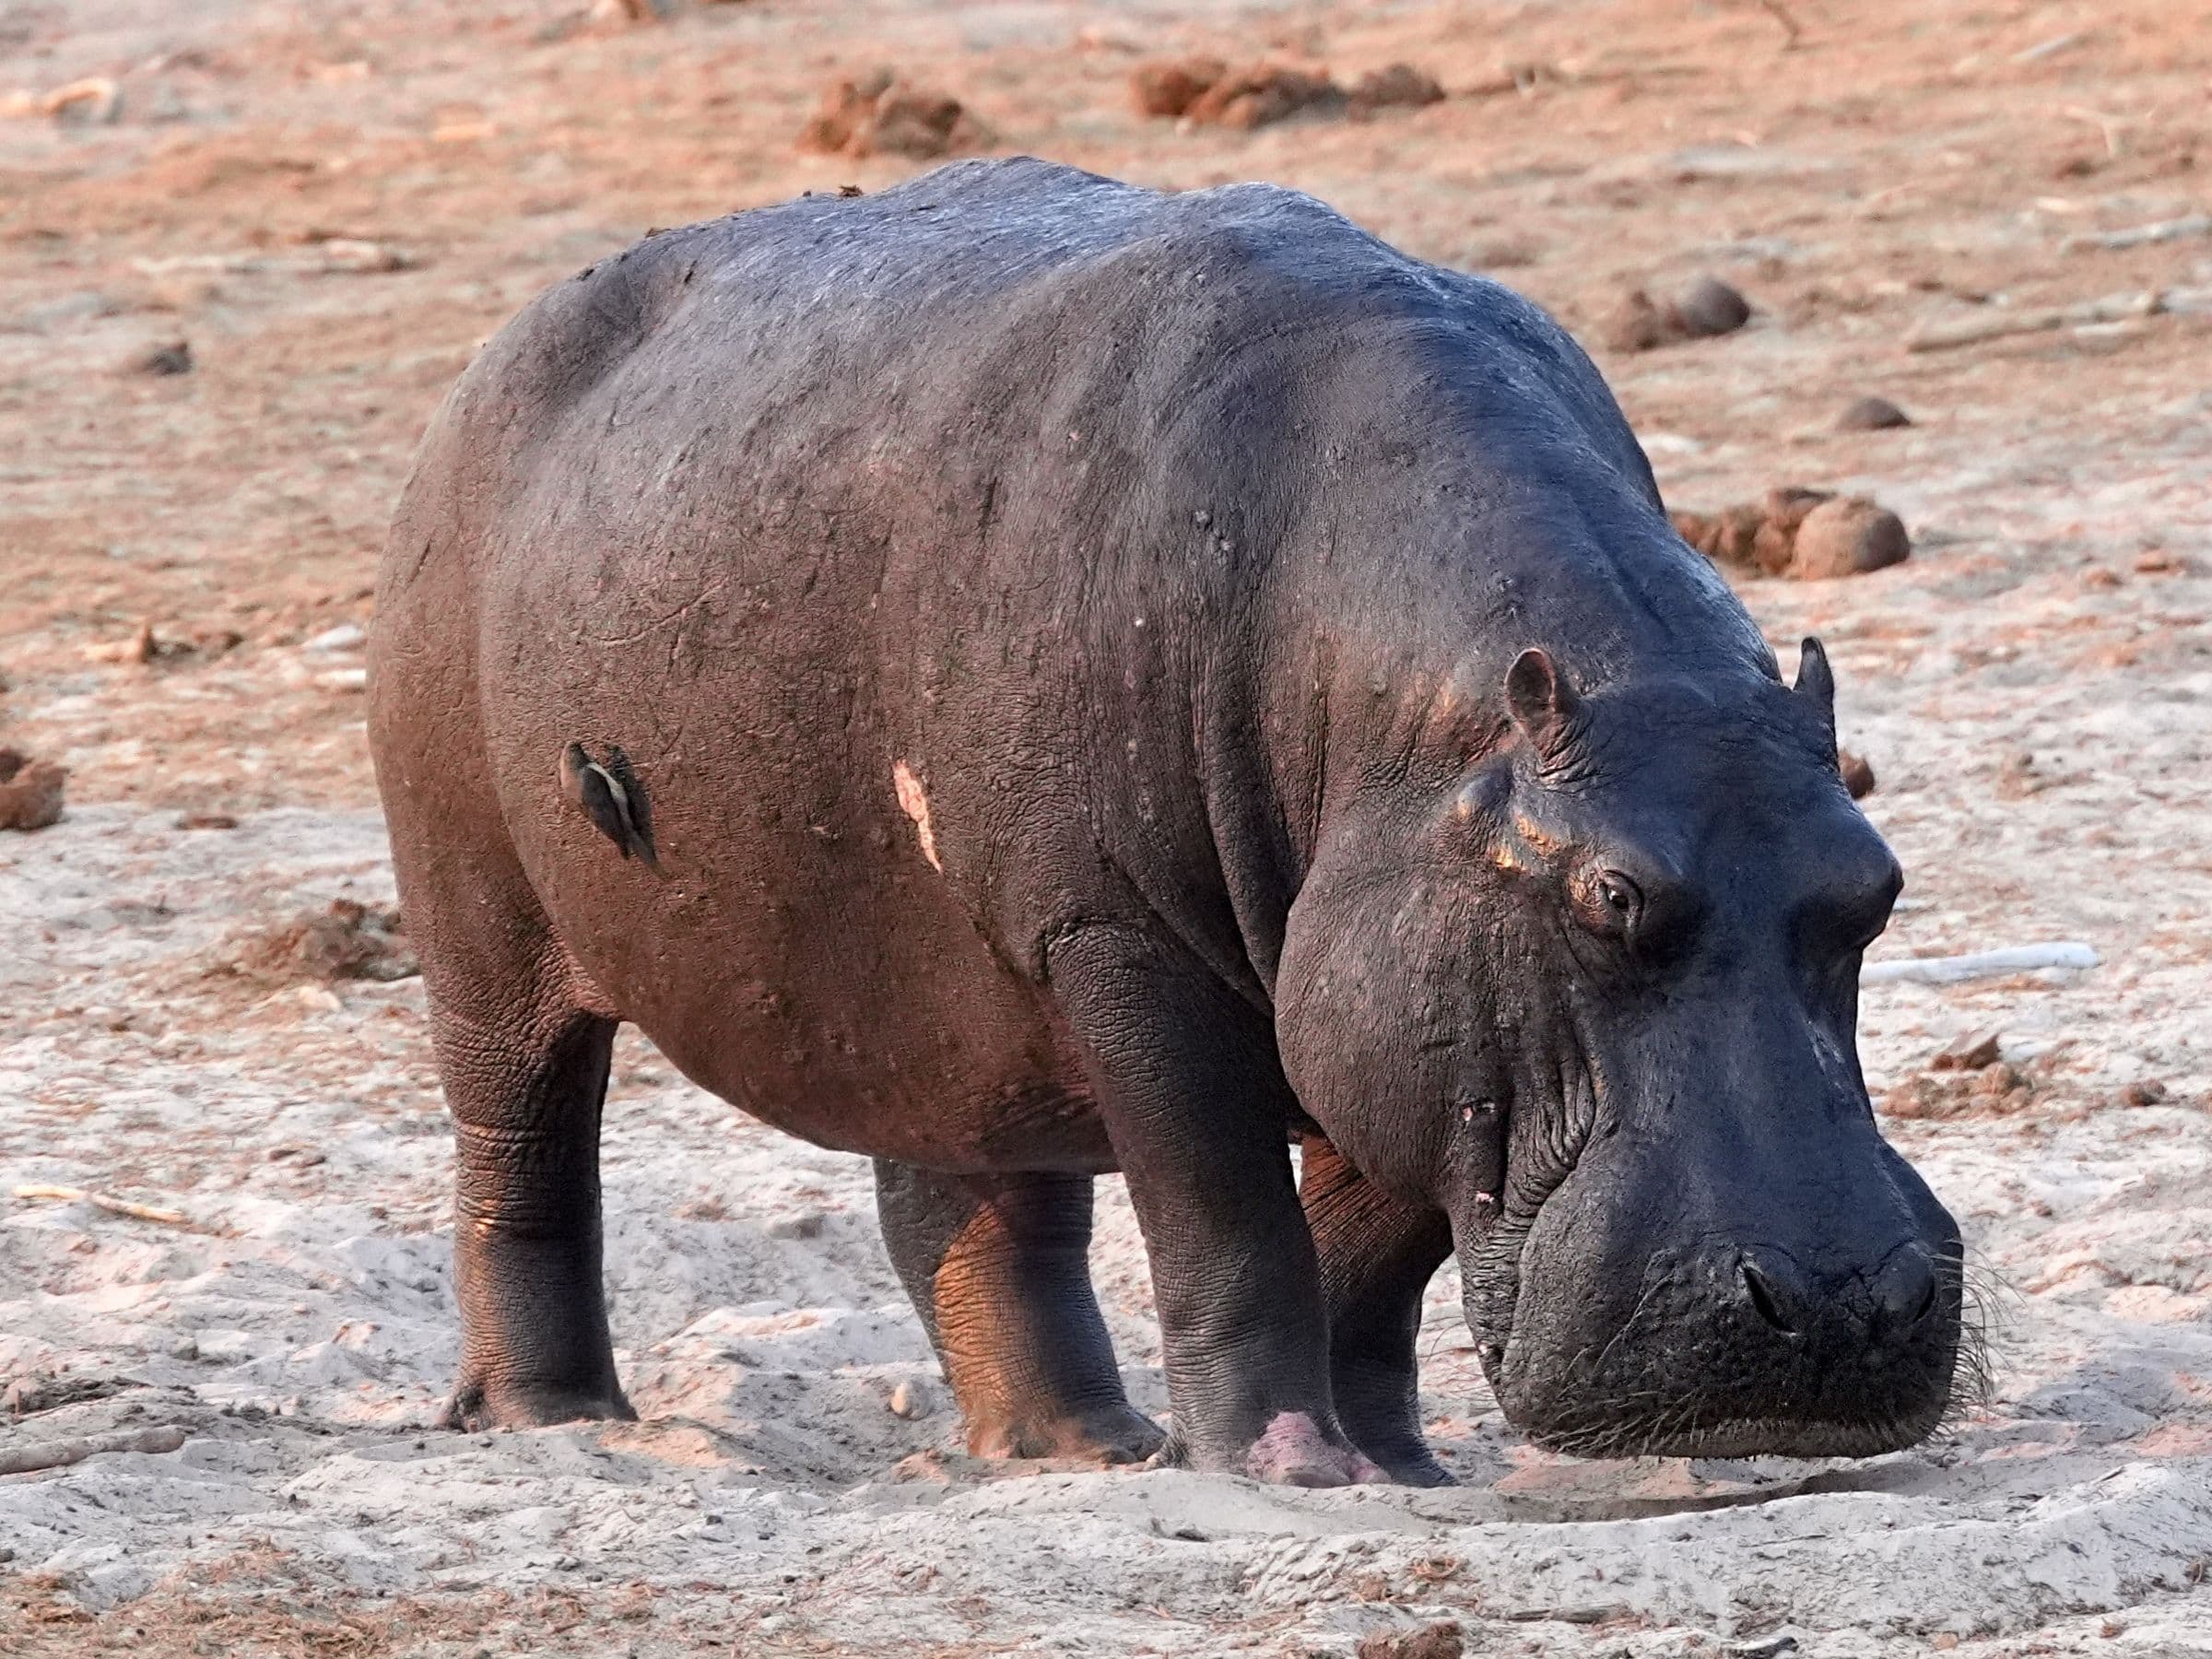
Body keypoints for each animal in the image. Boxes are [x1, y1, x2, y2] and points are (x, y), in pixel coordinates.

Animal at [368, 158, 1963, 1487]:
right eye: (1610, 899)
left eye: (1874, 886)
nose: (1837, 1301)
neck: (1433, 733)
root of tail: (491, 359)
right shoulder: (1122, 936)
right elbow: (1229, 1213)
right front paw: (1296, 1469)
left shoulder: (1401, 1004)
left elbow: (1374, 1254)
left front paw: (1399, 1467)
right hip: (485, 920)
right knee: (522, 1152)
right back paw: (554, 1418)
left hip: (944, 989)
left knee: (982, 1212)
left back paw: (1081, 1448)